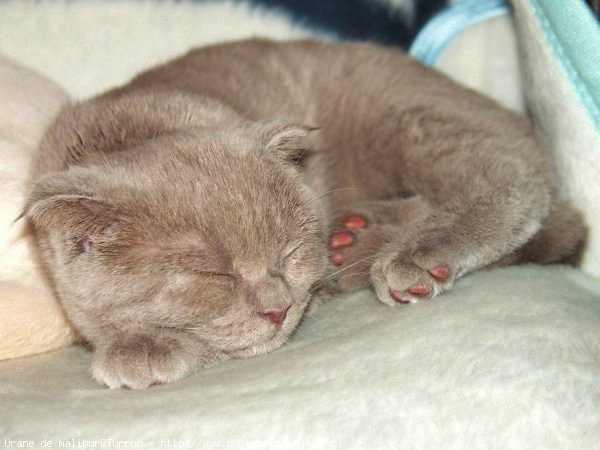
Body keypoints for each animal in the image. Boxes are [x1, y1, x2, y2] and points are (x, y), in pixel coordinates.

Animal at [25, 39, 584, 386]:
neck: (132, 125)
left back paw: (405, 254)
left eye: (287, 253)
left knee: (512, 185)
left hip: (406, 118)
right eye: (213, 275)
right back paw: (354, 236)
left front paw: (144, 348)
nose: (277, 307)